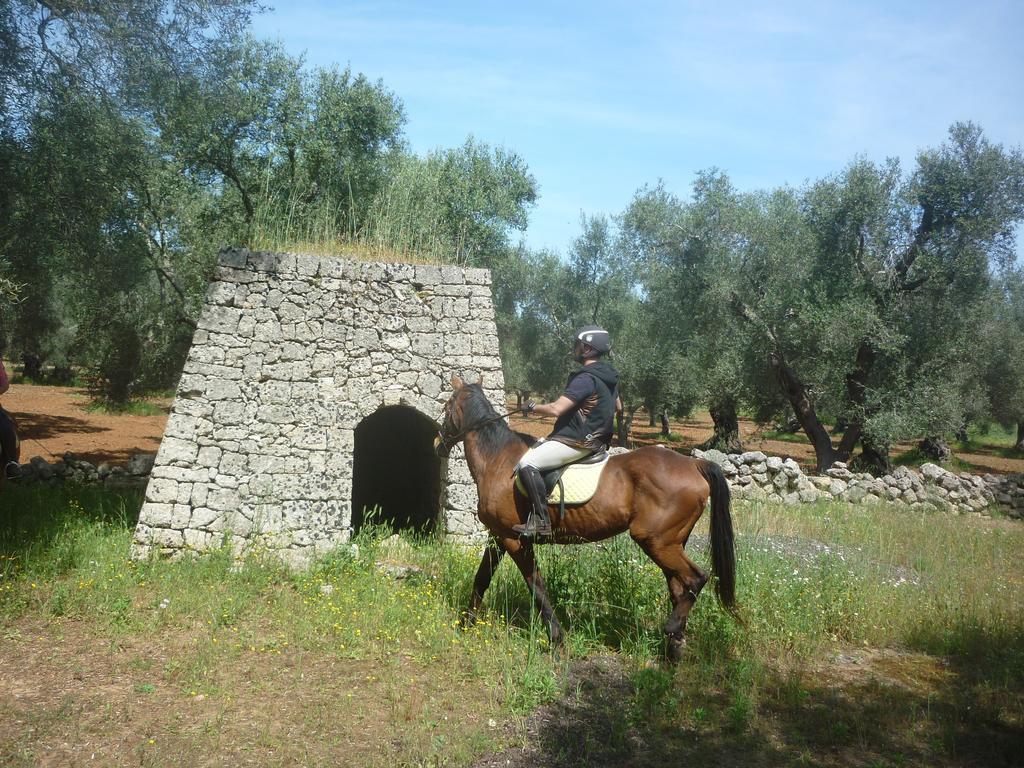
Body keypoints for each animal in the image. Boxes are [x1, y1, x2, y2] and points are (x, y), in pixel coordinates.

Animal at [432, 376, 737, 663]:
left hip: (656, 541)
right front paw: (465, 623)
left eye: (447, 406)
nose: (437, 443)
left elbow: (537, 587)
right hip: (670, 543)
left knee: (697, 578)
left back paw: (672, 630)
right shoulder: (497, 535)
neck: (497, 461)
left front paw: (556, 638)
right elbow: (482, 578)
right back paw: (673, 648)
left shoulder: (514, 540)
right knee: (678, 587)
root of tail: (694, 463)